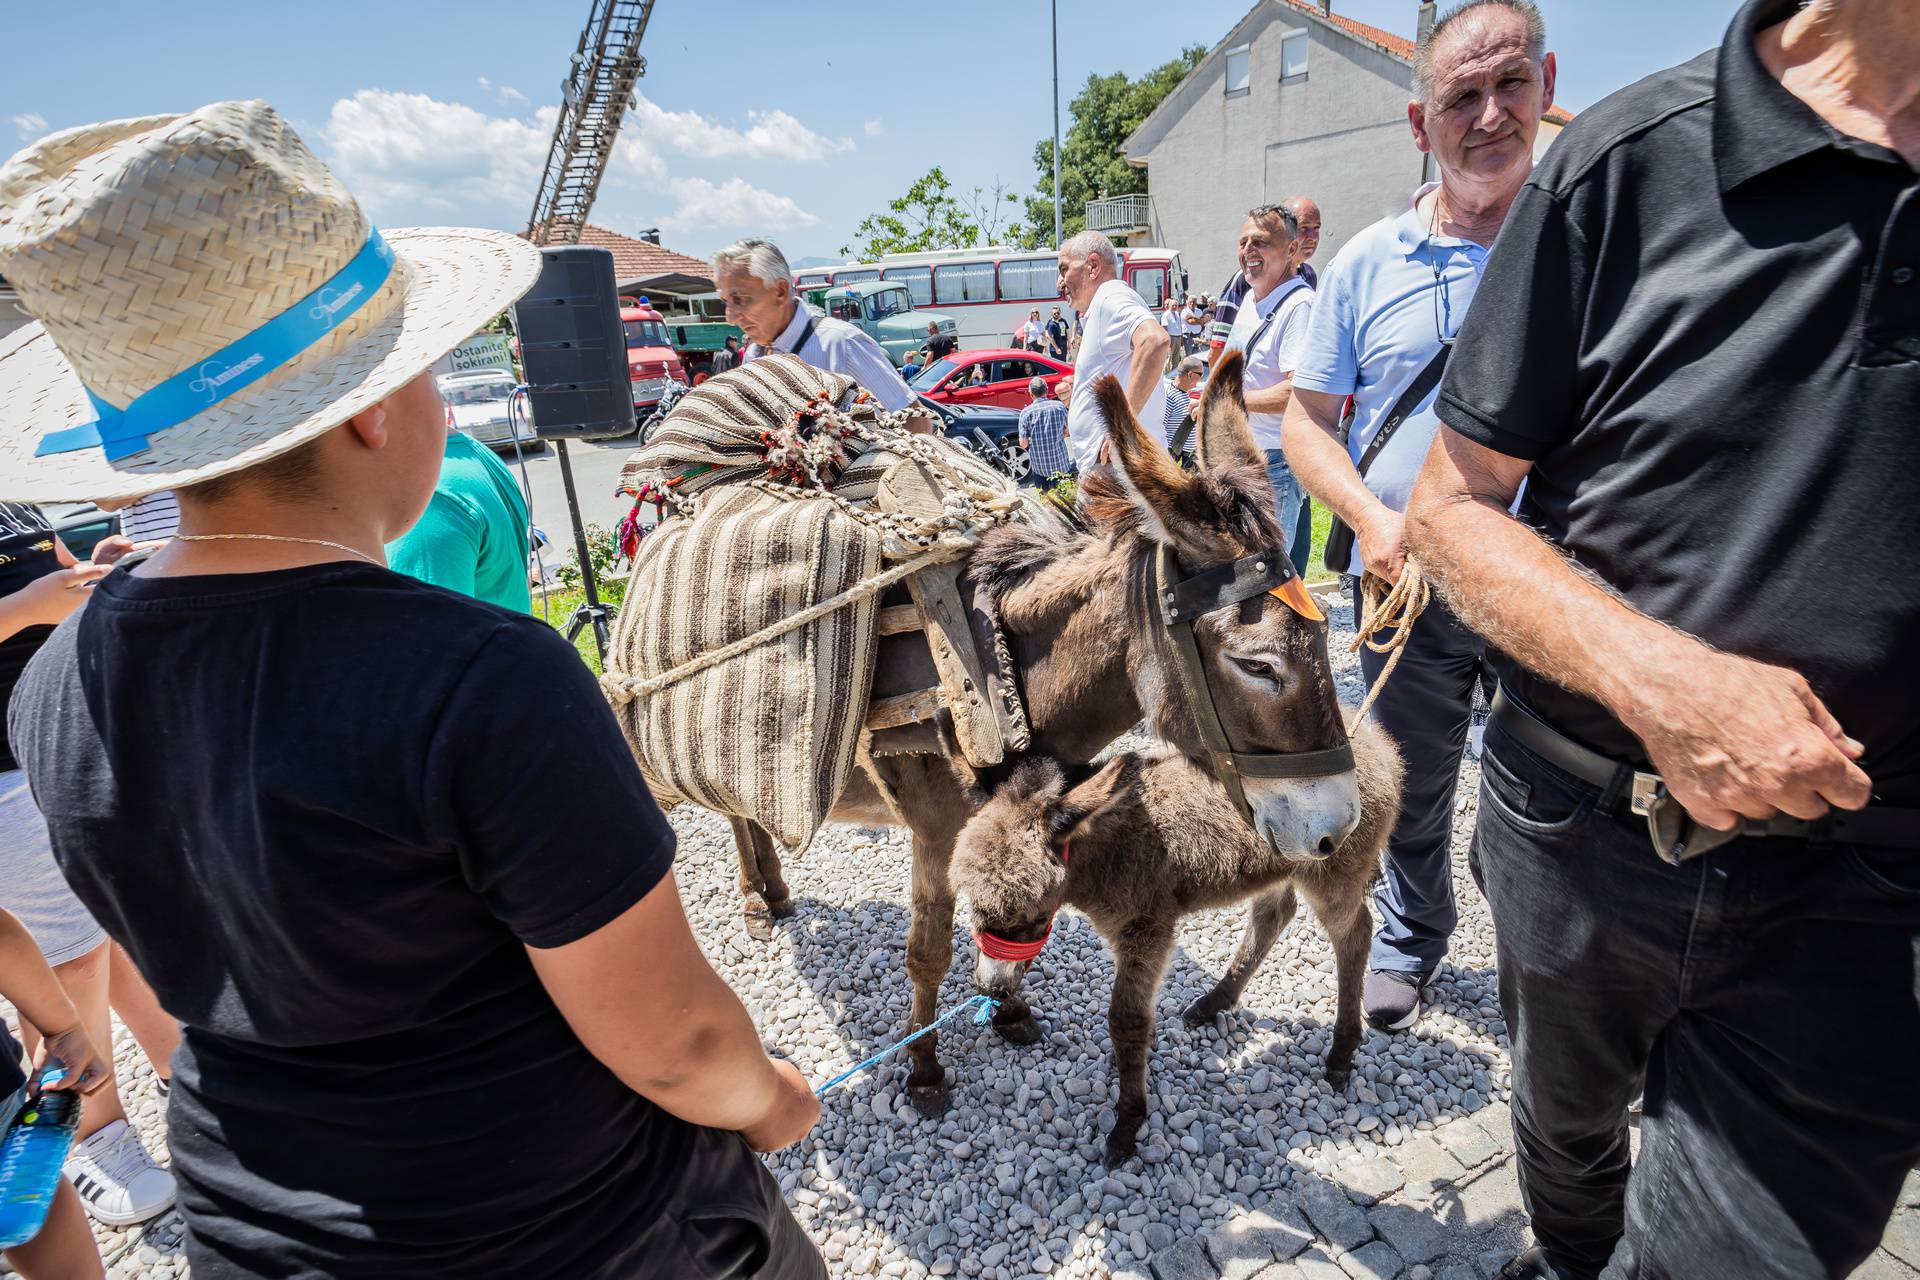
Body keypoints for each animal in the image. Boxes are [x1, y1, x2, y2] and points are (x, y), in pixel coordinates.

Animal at [952, 725, 1405, 1166]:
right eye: (974, 908)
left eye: (1030, 915)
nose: (992, 987)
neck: (1101, 850)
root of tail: (1381, 745)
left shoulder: (1147, 929)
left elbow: (1127, 1022)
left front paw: (1128, 1122)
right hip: (1286, 864)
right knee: (1274, 913)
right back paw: (1214, 1003)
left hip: (1334, 871)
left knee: (1355, 933)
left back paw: (1341, 1054)